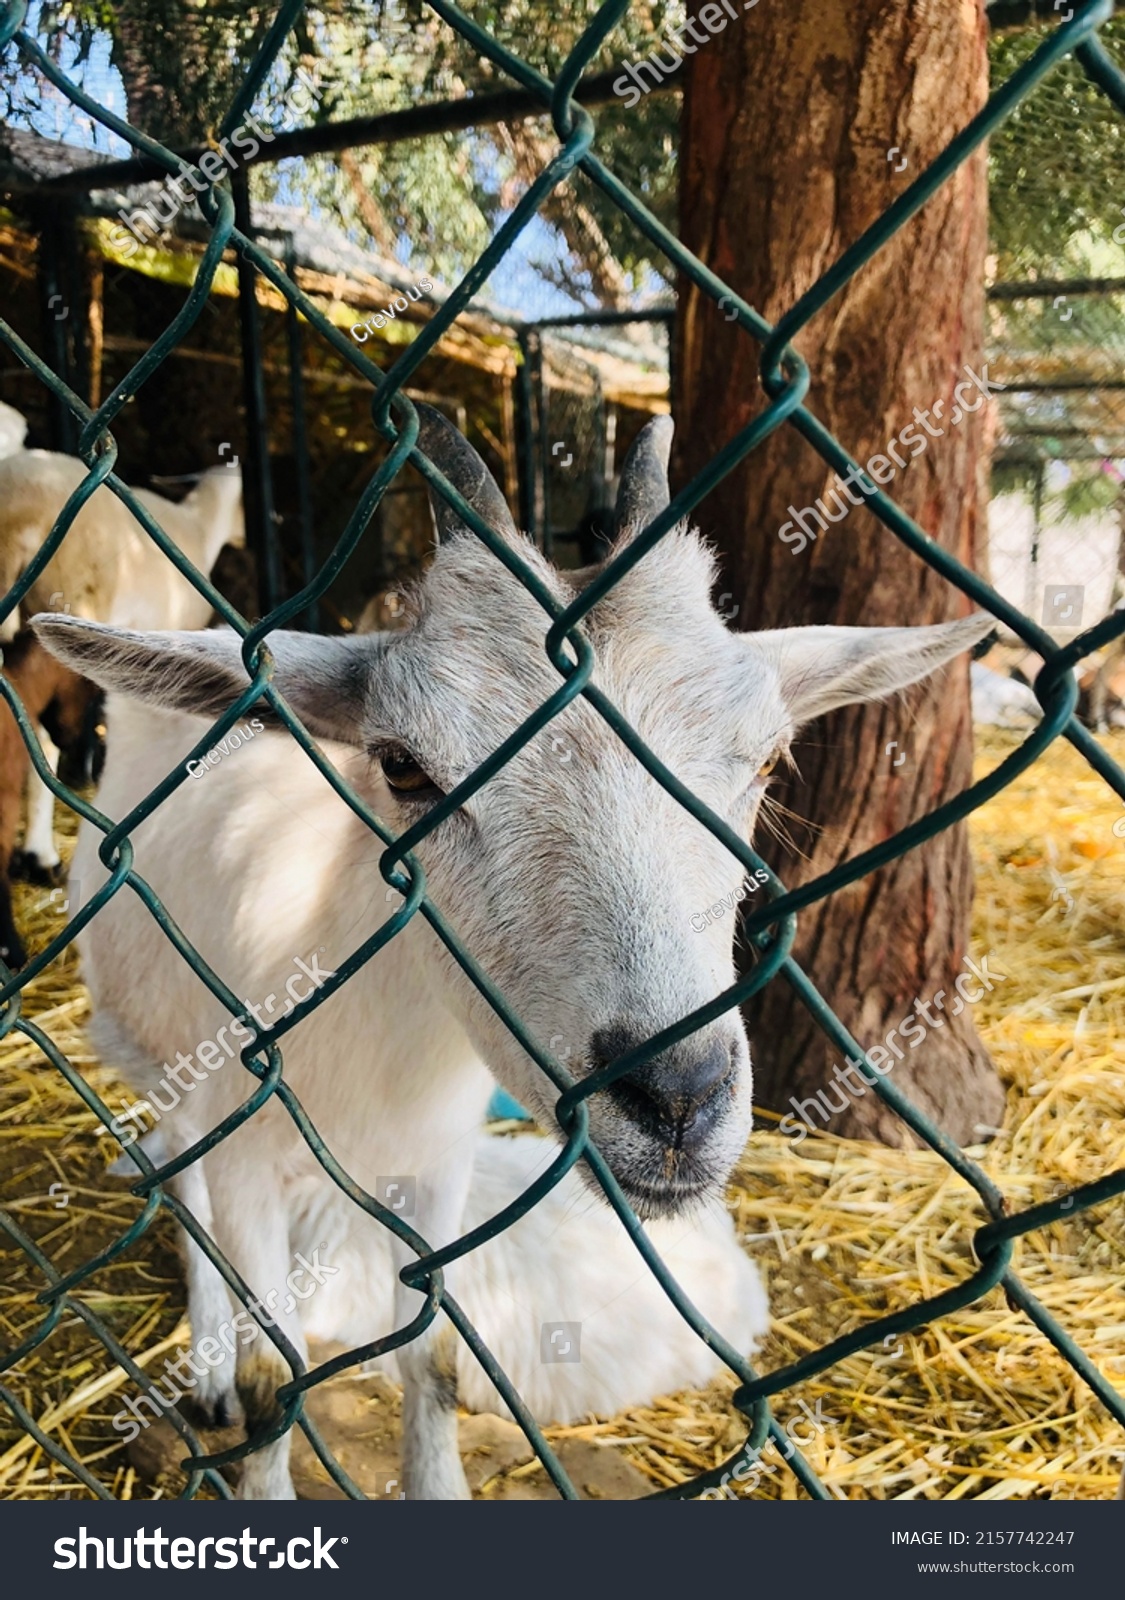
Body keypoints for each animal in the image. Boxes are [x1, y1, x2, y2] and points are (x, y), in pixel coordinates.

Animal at [30, 403, 992, 1497]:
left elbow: (436, 1349)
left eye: (768, 760)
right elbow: (279, 1370)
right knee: (181, 1185)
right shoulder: (244, 1128)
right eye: (403, 765)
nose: (677, 1100)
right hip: (160, 1055)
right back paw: (206, 1365)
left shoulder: (436, 1155)